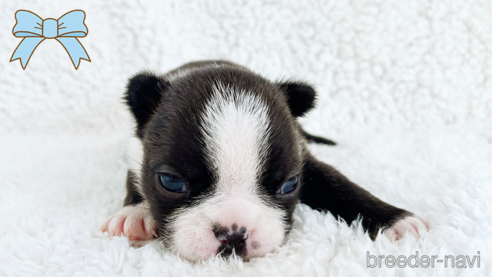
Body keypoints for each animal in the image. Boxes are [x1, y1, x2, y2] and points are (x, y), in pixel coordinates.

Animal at [102, 60, 428, 260]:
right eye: (170, 182)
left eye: (289, 185)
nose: (234, 232)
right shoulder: (134, 147)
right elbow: (133, 179)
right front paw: (135, 213)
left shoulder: (306, 162)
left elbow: (342, 186)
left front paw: (395, 220)